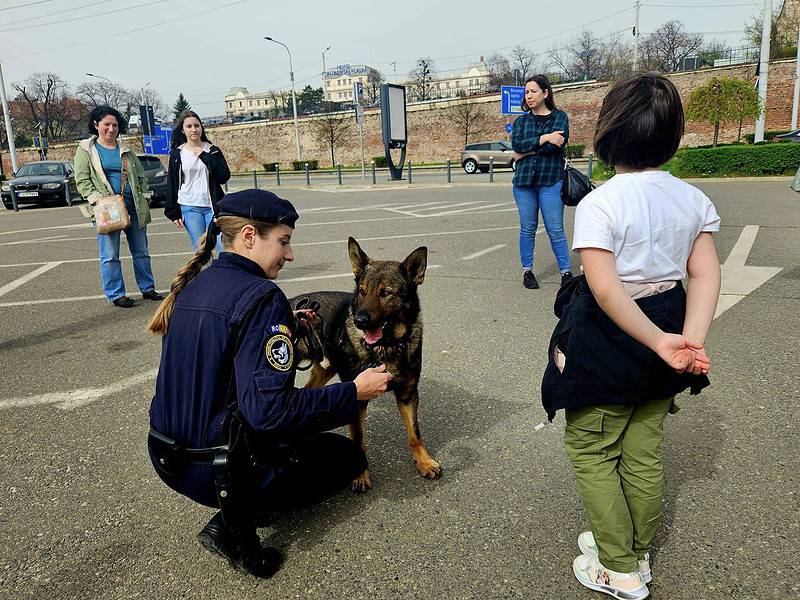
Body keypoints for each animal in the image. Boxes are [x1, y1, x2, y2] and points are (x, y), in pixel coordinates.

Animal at [290, 237, 440, 490]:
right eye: (362, 291)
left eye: (386, 293)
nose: (359, 321)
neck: (386, 345)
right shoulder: (356, 397)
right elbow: (358, 438)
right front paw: (360, 474)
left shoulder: (407, 393)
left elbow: (414, 434)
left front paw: (423, 461)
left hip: (326, 371)